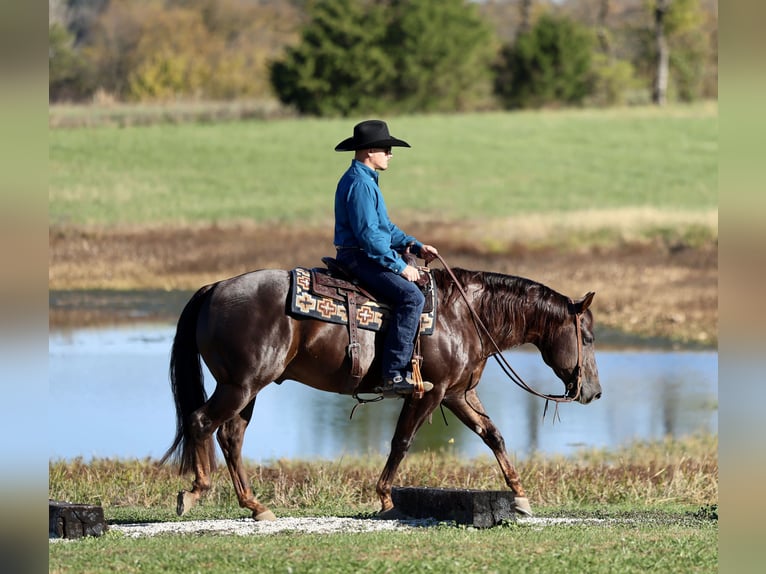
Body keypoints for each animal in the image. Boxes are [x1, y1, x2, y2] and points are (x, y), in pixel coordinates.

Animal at [161, 264, 601, 520]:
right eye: (589, 337)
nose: (593, 392)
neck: (464, 315)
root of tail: (214, 288)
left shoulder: (458, 394)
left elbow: (493, 436)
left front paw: (521, 495)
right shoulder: (429, 393)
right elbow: (401, 442)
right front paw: (386, 498)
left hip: (247, 388)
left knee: (230, 435)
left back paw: (255, 506)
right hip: (241, 385)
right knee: (201, 422)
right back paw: (195, 492)